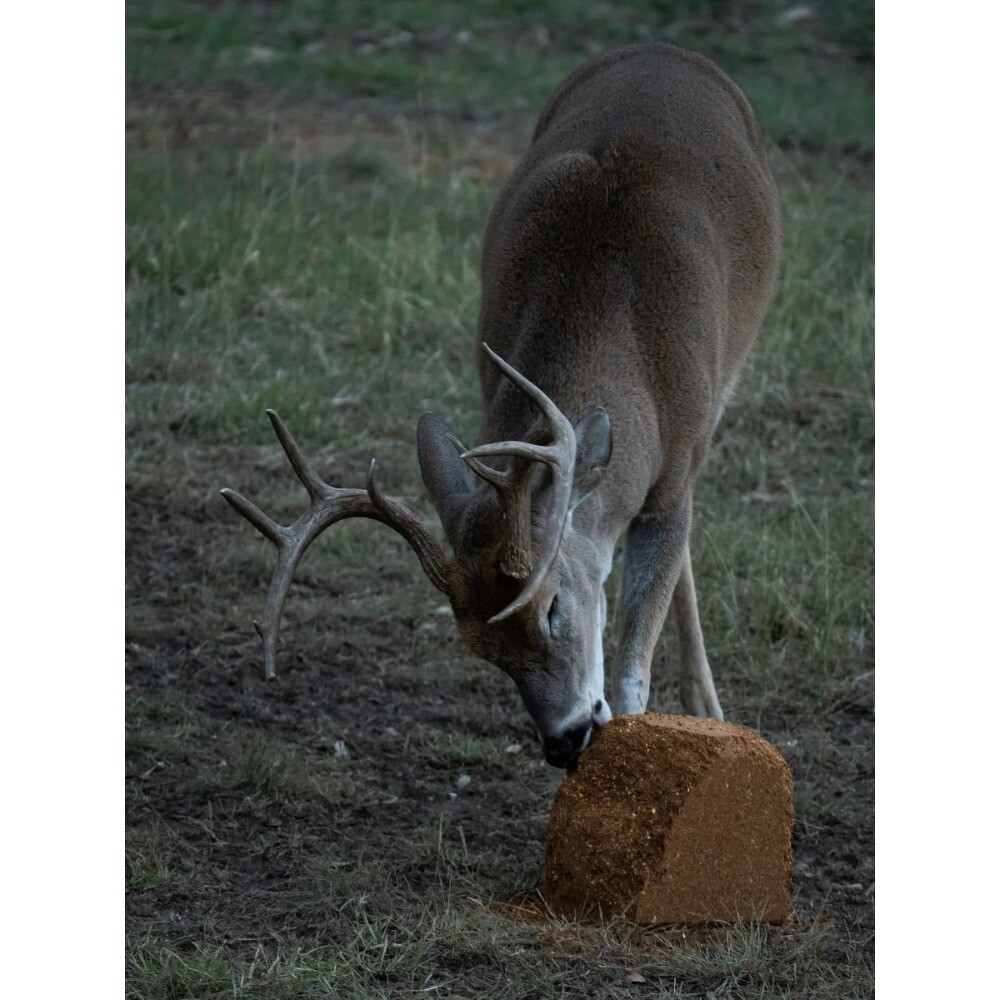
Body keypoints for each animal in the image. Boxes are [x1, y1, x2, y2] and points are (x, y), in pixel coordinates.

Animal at [222, 42, 781, 768]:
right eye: (478, 646)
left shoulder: (675, 473)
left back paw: (707, 708)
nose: (567, 741)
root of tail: (662, 50)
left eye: (552, 605)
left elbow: (632, 667)